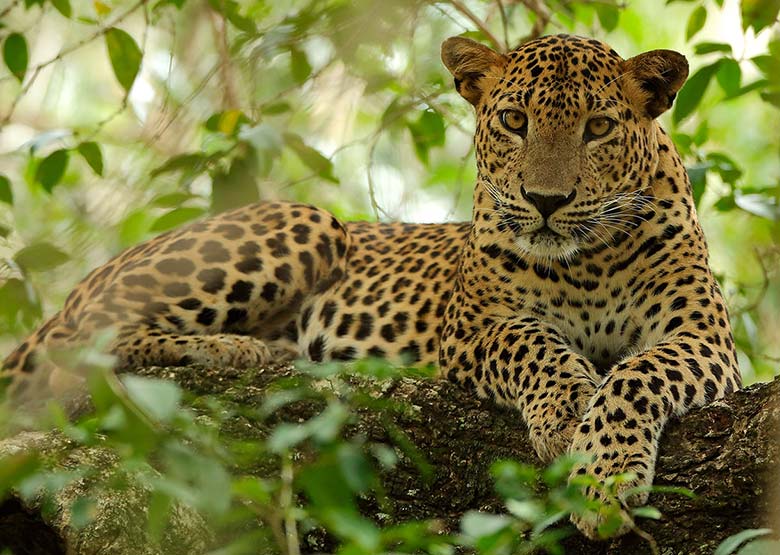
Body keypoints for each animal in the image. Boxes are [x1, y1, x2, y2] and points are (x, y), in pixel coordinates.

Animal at [3, 33, 740, 540]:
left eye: (599, 128)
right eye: (514, 122)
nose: (546, 201)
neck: (585, 260)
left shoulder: (703, 337)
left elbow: (638, 374)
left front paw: (604, 476)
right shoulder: (473, 330)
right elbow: (536, 344)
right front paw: (565, 416)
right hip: (306, 222)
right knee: (78, 347)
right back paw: (234, 350)